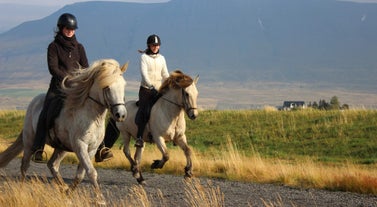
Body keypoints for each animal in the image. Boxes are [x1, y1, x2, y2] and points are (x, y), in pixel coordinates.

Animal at [0, 58, 128, 204]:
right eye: (107, 87)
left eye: (123, 85)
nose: (121, 115)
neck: (91, 116)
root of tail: (34, 102)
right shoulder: (80, 146)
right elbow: (91, 172)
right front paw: (100, 200)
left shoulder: (92, 148)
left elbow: (80, 174)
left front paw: (68, 194)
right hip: (29, 142)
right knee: (24, 166)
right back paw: (21, 192)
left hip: (62, 148)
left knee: (52, 165)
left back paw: (63, 188)